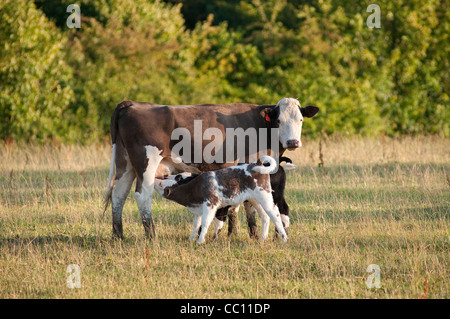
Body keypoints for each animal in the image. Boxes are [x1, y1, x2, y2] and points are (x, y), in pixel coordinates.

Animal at [155, 156, 288, 245]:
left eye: (178, 177)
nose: (160, 177)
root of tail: (257, 163)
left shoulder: (211, 205)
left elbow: (207, 223)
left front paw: (201, 241)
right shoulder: (199, 210)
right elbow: (196, 224)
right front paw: (191, 238)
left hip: (266, 197)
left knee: (276, 214)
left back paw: (284, 238)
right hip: (254, 200)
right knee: (265, 216)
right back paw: (262, 239)